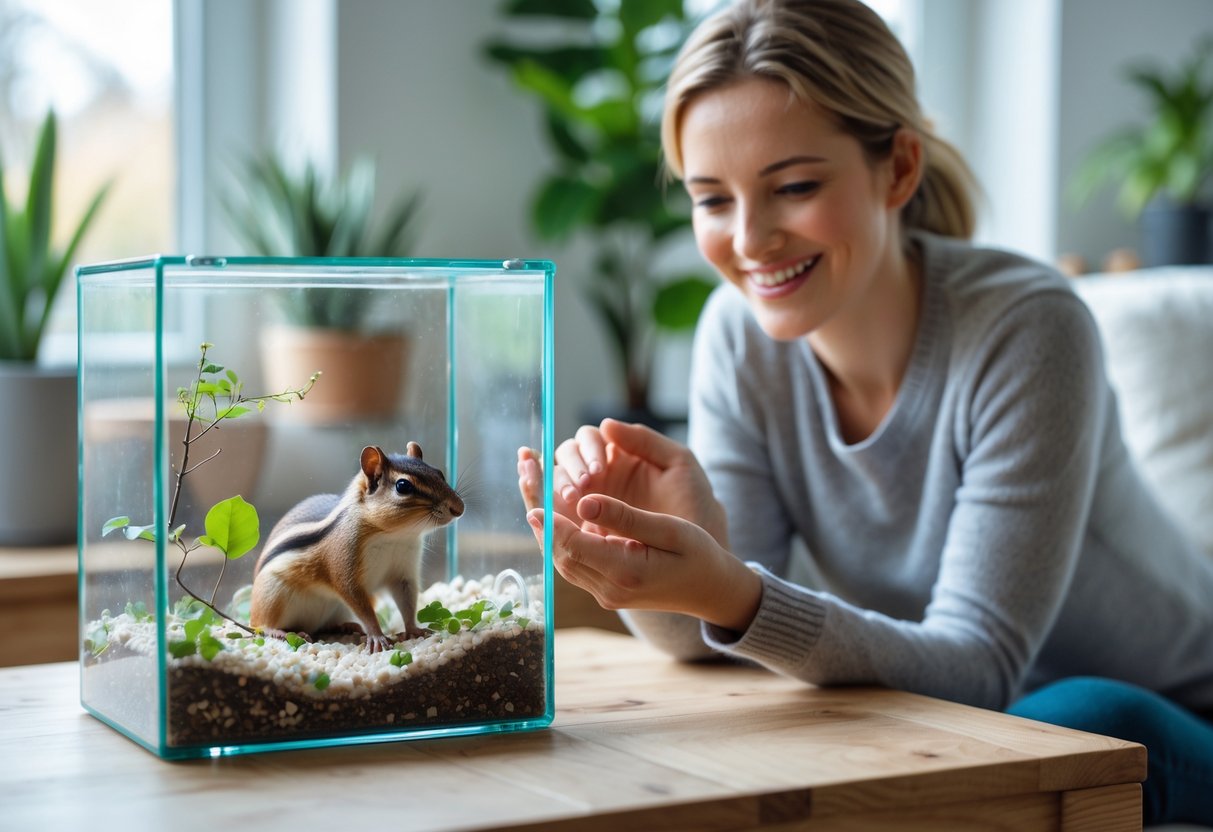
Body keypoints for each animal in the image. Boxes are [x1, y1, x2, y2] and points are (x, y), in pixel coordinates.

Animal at [249, 443, 465, 652]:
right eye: (403, 486)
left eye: (439, 473)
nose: (459, 508)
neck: (394, 535)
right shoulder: (345, 568)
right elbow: (362, 606)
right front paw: (377, 637)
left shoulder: (403, 573)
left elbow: (407, 601)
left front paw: (413, 630)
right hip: (272, 596)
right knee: (261, 625)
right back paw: (280, 632)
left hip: (337, 609)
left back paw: (346, 626)